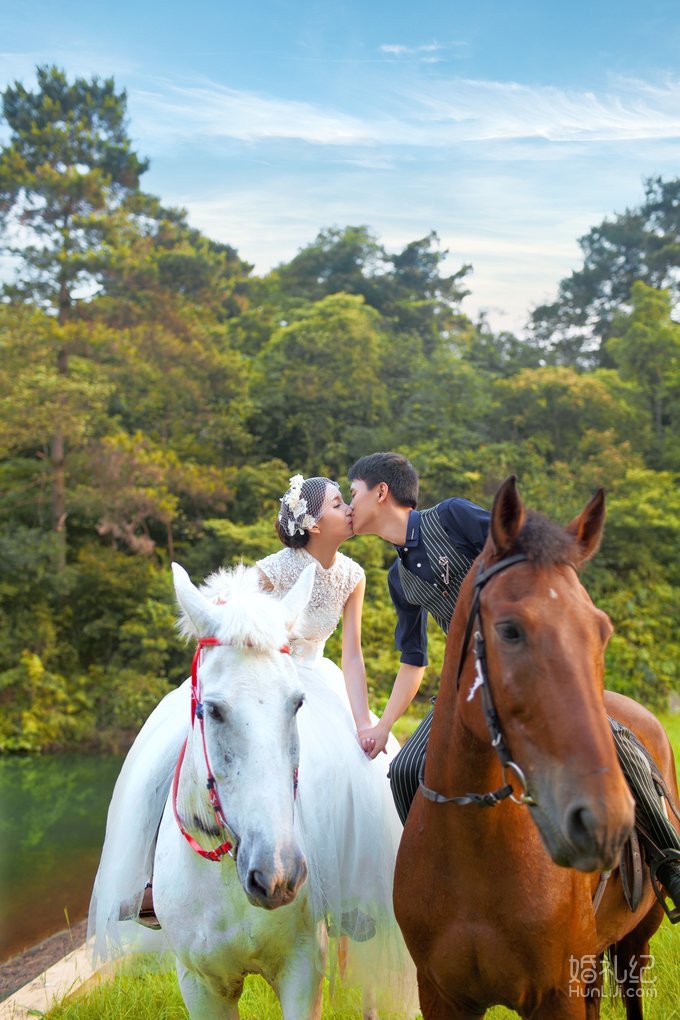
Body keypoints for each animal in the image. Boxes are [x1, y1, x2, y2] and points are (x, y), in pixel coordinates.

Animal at [395, 479, 676, 1020]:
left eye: (601, 631)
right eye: (509, 630)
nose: (603, 822)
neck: (474, 851)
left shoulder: (554, 995)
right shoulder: (439, 993)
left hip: (634, 944)